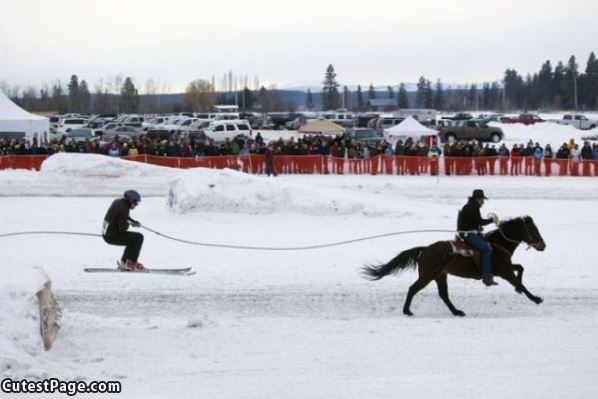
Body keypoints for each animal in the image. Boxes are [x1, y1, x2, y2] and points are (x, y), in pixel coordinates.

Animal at [364, 217, 552, 318]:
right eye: (533, 230)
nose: (543, 245)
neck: (497, 245)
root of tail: (425, 249)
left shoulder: (504, 268)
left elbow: (520, 268)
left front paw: (521, 292)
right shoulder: (504, 271)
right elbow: (520, 282)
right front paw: (536, 298)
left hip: (440, 275)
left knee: (443, 294)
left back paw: (456, 311)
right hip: (428, 275)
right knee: (413, 289)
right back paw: (407, 311)